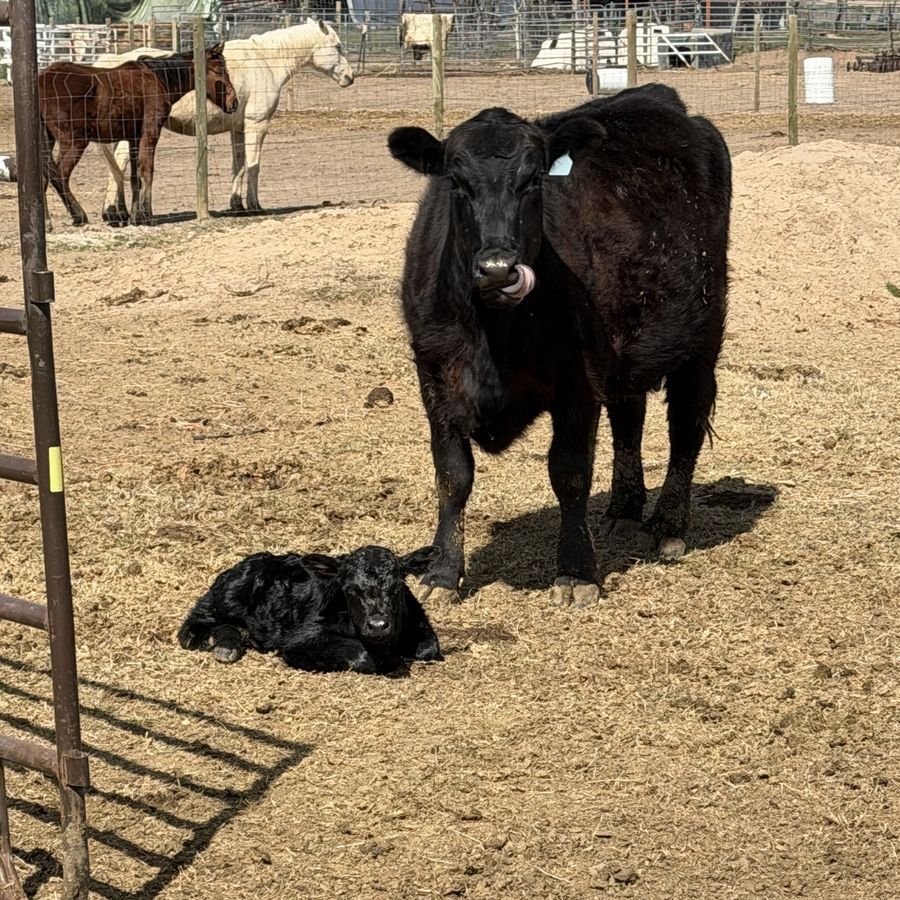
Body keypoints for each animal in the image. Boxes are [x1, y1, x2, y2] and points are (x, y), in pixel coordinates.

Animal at [177, 545, 443, 675]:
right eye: (350, 590)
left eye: (397, 586)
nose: (378, 625)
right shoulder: (298, 641)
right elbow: (361, 655)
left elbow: (428, 649)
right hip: (224, 598)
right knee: (192, 626)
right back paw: (223, 646)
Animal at [387, 84, 730, 607]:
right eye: (457, 183)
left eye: (534, 182)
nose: (497, 269)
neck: (493, 338)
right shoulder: (433, 376)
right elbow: (452, 475)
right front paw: (443, 573)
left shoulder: (578, 381)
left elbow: (569, 474)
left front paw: (576, 573)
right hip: (625, 352)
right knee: (629, 419)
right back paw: (623, 510)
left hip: (701, 338)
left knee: (685, 427)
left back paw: (668, 525)